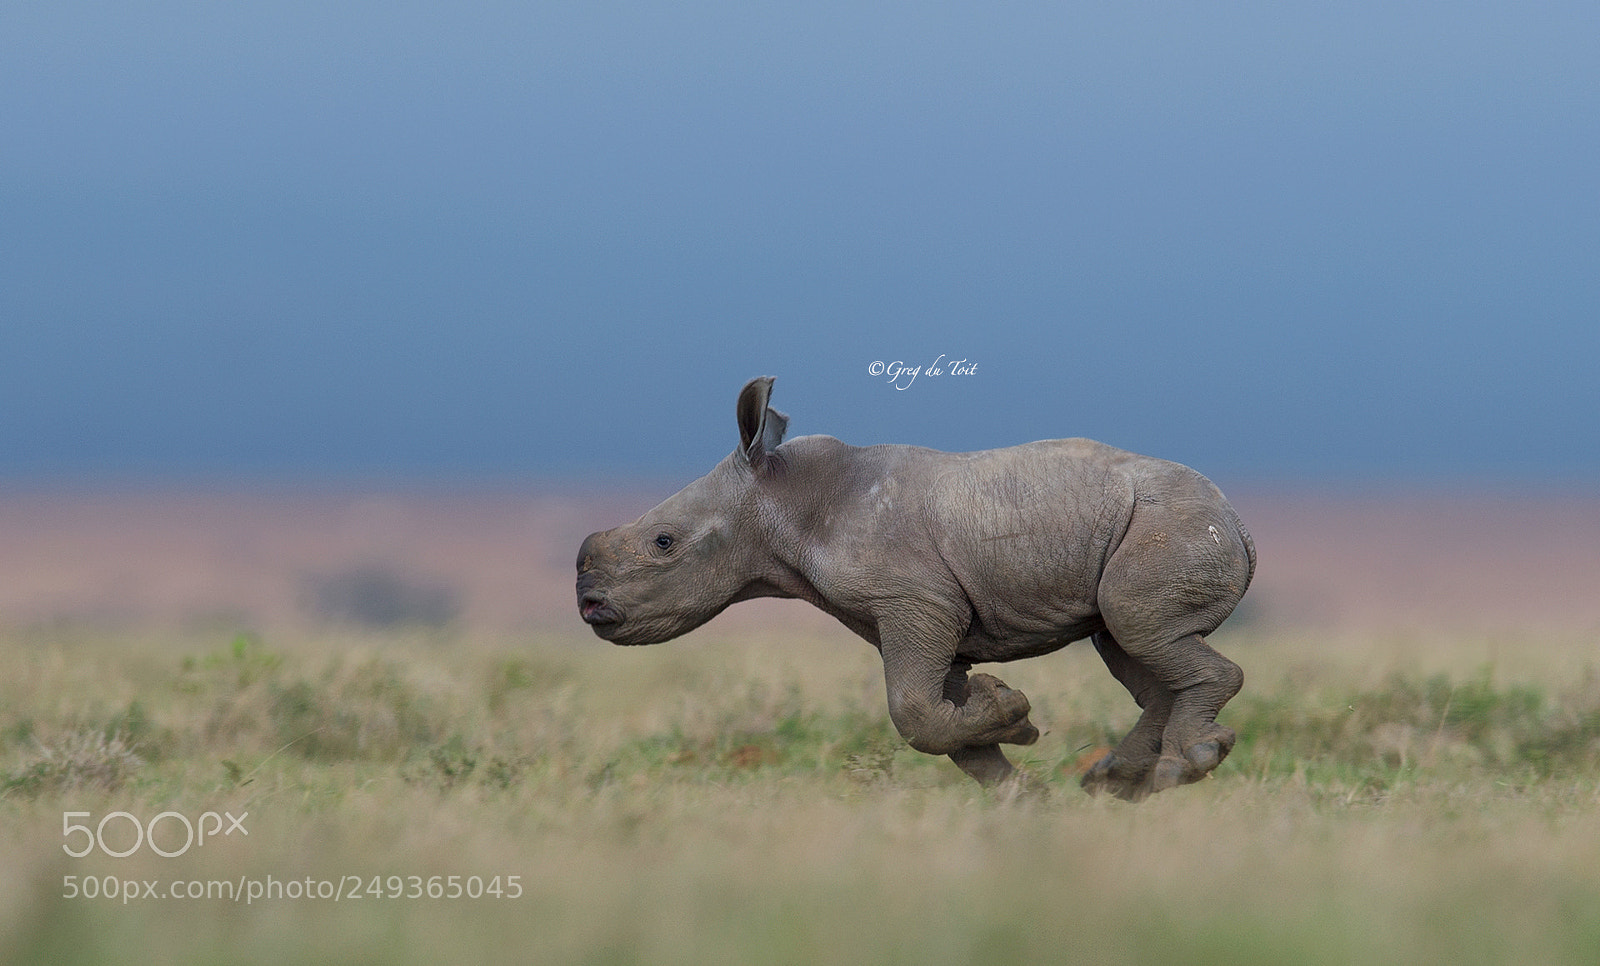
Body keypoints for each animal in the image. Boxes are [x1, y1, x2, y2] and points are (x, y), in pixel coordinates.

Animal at [577, 377, 1255, 800]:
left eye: (664, 543)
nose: (589, 605)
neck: (784, 503)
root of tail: (1239, 523)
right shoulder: (918, 615)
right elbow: (938, 723)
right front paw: (1022, 778)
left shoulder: (916, 601)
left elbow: (912, 712)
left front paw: (1012, 716)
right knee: (1126, 639)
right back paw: (1121, 783)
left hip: (1173, 529)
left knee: (1137, 624)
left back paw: (1187, 762)